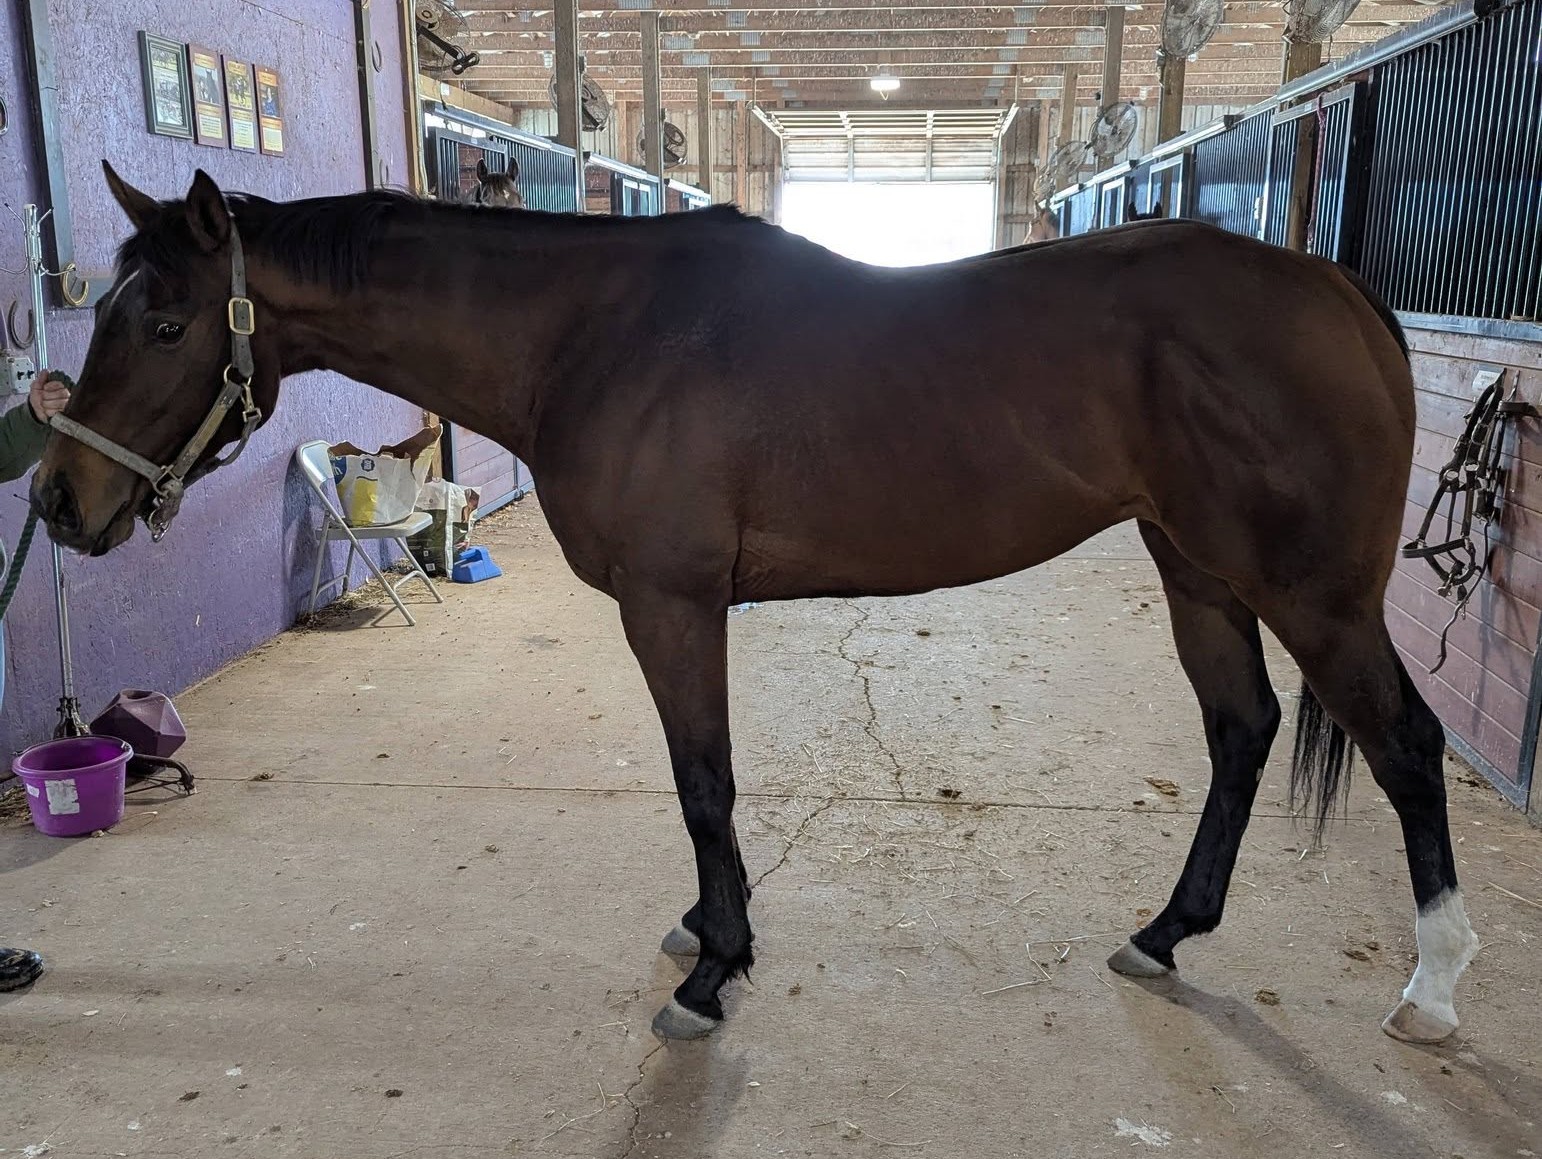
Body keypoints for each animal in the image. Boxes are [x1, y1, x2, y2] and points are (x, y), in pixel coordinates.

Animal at [33, 163, 1478, 1046]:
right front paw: (707, 933)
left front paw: (712, 965)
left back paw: (1431, 988)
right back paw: (1166, 933)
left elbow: (703, 781)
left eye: (165, 323)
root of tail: (1334, 288)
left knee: (1407, 747)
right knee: (1239, 733)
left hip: (1312, 593)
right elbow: (705, 783)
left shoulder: (672, 604)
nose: (56, 499)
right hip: (1195, 570)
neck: (590, 335)